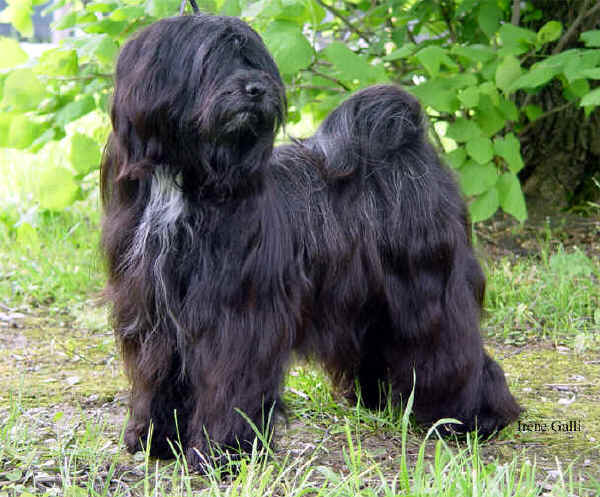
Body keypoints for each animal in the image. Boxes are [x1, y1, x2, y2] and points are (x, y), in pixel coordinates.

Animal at [101, 12, 524, 468]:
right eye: (210, 60)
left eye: (253, 59)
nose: (257, 89)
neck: (185, 182)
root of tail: (409, 140)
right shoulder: (151, 313)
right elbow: (159, 376)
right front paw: (156, 440)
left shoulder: (240, 316)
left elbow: (231, 381)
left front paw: (224, 452)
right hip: (367, 296)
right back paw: (380, 401)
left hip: (427, 290)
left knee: (451, 349)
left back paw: (471, 417)